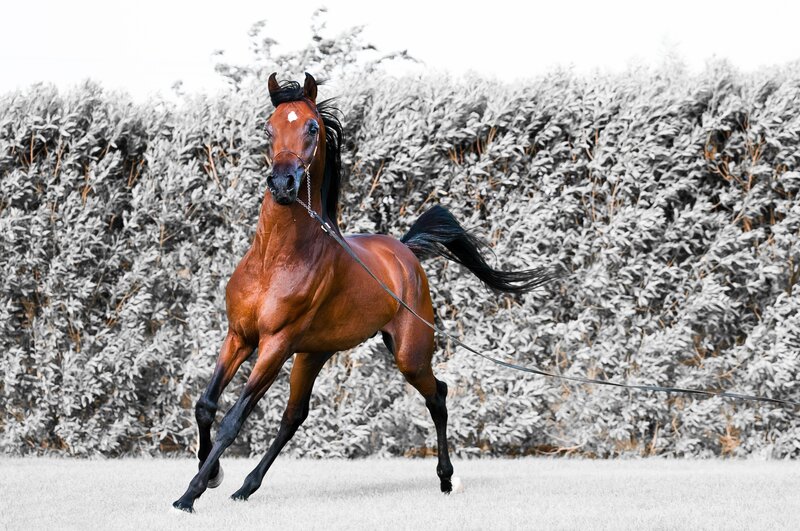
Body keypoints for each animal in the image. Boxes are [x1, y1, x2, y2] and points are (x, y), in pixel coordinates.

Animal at [172, 73, 551, 513]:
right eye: (268, 127)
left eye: (312, 127)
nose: (283, 184)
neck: (274, 260)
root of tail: (405, 251)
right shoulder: (239, 336)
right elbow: (205, 405)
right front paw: (213, 474)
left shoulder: (274, 344)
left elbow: (233, 419)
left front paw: (190, 493)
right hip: (313, 354)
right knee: (294, 416)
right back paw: (245, 487)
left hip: (408, 354)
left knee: (437, 395)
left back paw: (446, 479)